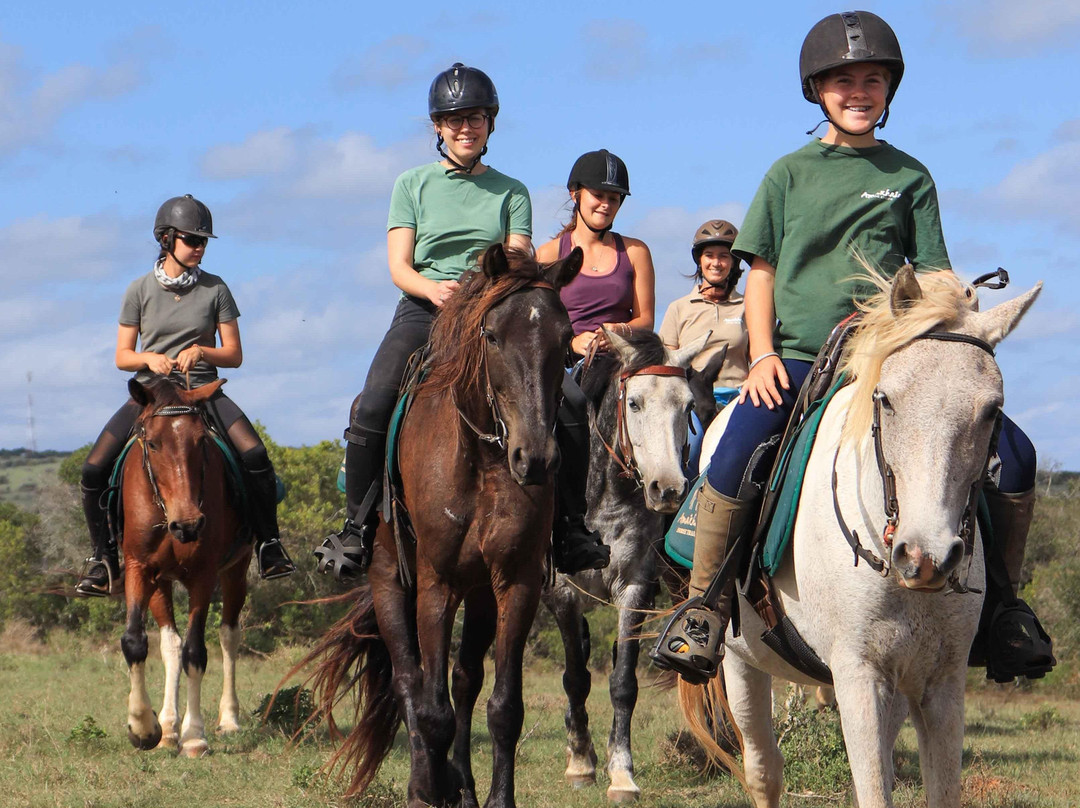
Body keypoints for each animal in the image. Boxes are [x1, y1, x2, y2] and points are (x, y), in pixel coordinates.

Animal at [119, 376, 249, 758]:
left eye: (201, 441)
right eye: (152, 443)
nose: (188, 526)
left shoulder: (203, 575)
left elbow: (196, 651)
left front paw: (194, 736)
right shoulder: (139, 568)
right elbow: (136, 641)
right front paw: (144, 727)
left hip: (237, 570)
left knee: (228, 634)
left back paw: (228, 719)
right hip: (161, 582)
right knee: (170, 645)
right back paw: (167, 729)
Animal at [301, 244, 583, 808]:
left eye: (565, 340)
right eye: (492, 335)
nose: (536, 459)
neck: (481, 456)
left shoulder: (514, 581)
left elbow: (503, 707)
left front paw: (494, 798)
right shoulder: (436, 583)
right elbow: (431, 710)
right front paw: (428, 790)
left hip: (479, 592)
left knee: (464, 680)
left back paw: (463, 786)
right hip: (389, 577)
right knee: (410, 681)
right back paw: (425, 782)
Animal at [542, 329, 709, 802]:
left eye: (687, 406)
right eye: (633, 403)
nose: (667, 489)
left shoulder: (635, 586)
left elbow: (622, 681)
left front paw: (621, 774)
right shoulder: (564, 593)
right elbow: (576, 678)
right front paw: (581, 763)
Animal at [682, 267, 1041, 808]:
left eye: (992, 411)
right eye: (886, 398)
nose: (926, 557)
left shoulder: (941, 683)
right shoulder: (858, 677)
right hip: (742, 662)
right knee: (763, 770)